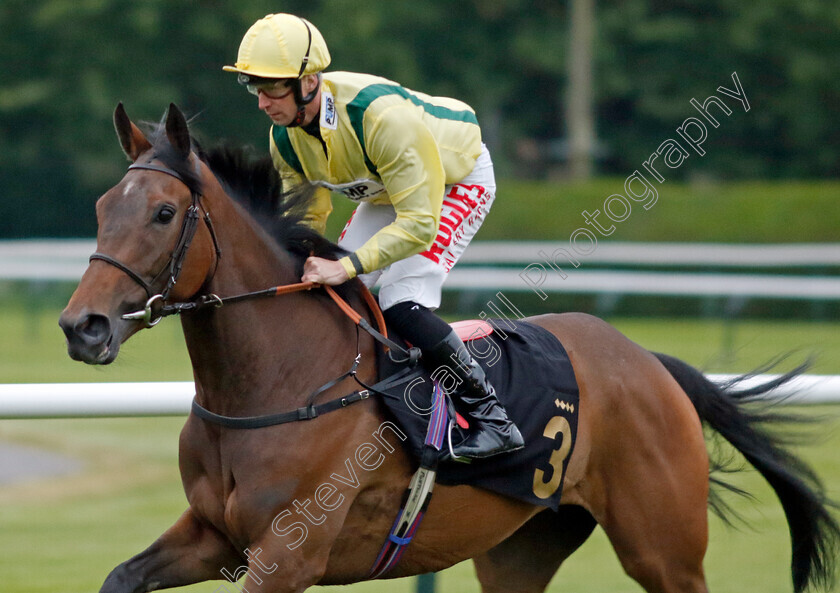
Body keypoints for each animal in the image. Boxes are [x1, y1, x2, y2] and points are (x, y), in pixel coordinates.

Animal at [60, 104, 840, 592]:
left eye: (164, 213)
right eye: (100, 209)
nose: (82, 326)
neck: (278, 383)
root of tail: (652, 363)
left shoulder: (288, 554)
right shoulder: (214, 535)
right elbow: (119, 576)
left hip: (665, 545)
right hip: (522, 546)